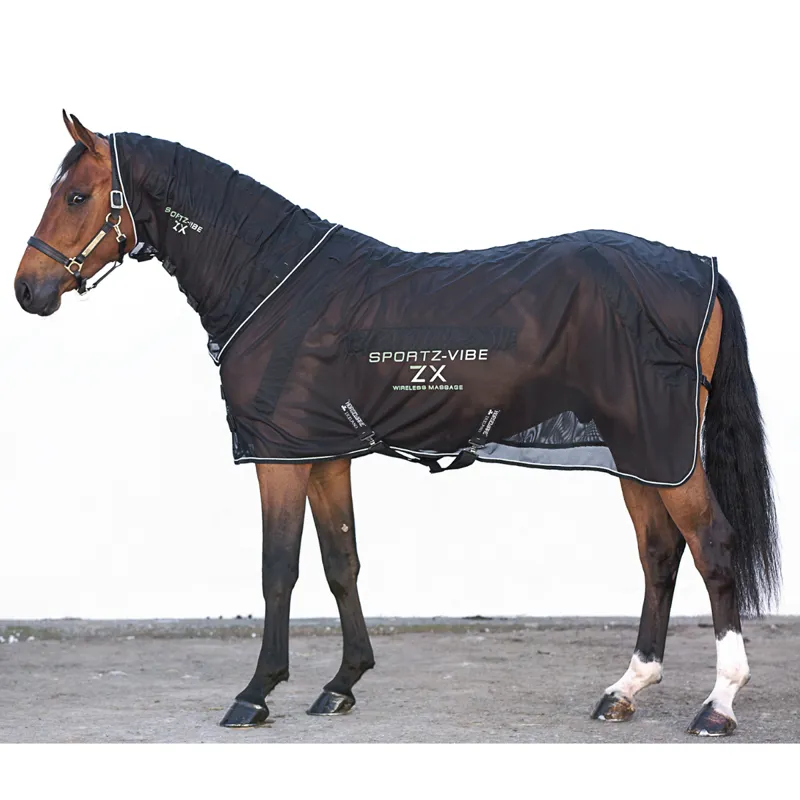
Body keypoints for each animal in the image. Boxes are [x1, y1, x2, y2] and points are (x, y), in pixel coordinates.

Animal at [14, 112, 780, 737]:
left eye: (76, 195)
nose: (28, 290)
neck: (271, 282)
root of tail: (699, 269)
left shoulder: (279, 457)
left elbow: (278, 569)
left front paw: (255, 693)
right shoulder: (323, 453)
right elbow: (341, 563)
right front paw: (341, 684)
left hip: (662, 448)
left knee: (711, 546)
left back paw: (718, 705)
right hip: (642, 451)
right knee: (659, 552)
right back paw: (625, 689)